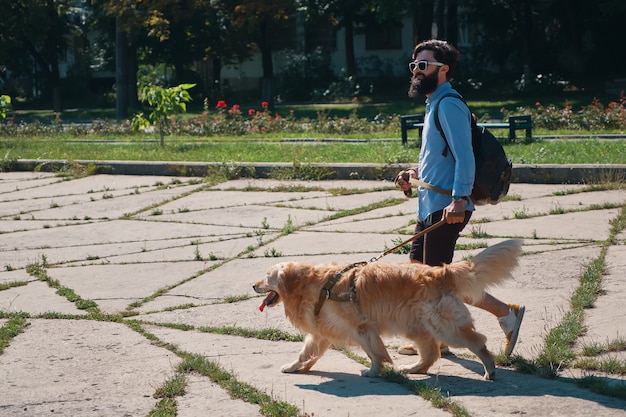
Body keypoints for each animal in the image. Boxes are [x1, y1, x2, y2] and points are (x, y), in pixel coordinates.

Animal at [251, 239, 520, 378]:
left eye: (267, 276)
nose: (253, 285)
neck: (314, 285)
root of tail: (442, 271)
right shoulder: (323, 330)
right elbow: (306, 352)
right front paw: (295, 367)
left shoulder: (362, 327)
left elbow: (374, 351)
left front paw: (373, 371)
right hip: (417, 326)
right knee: (431, 352)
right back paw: (414, 368)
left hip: (445, 326)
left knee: (477, 342)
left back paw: (490, 369)